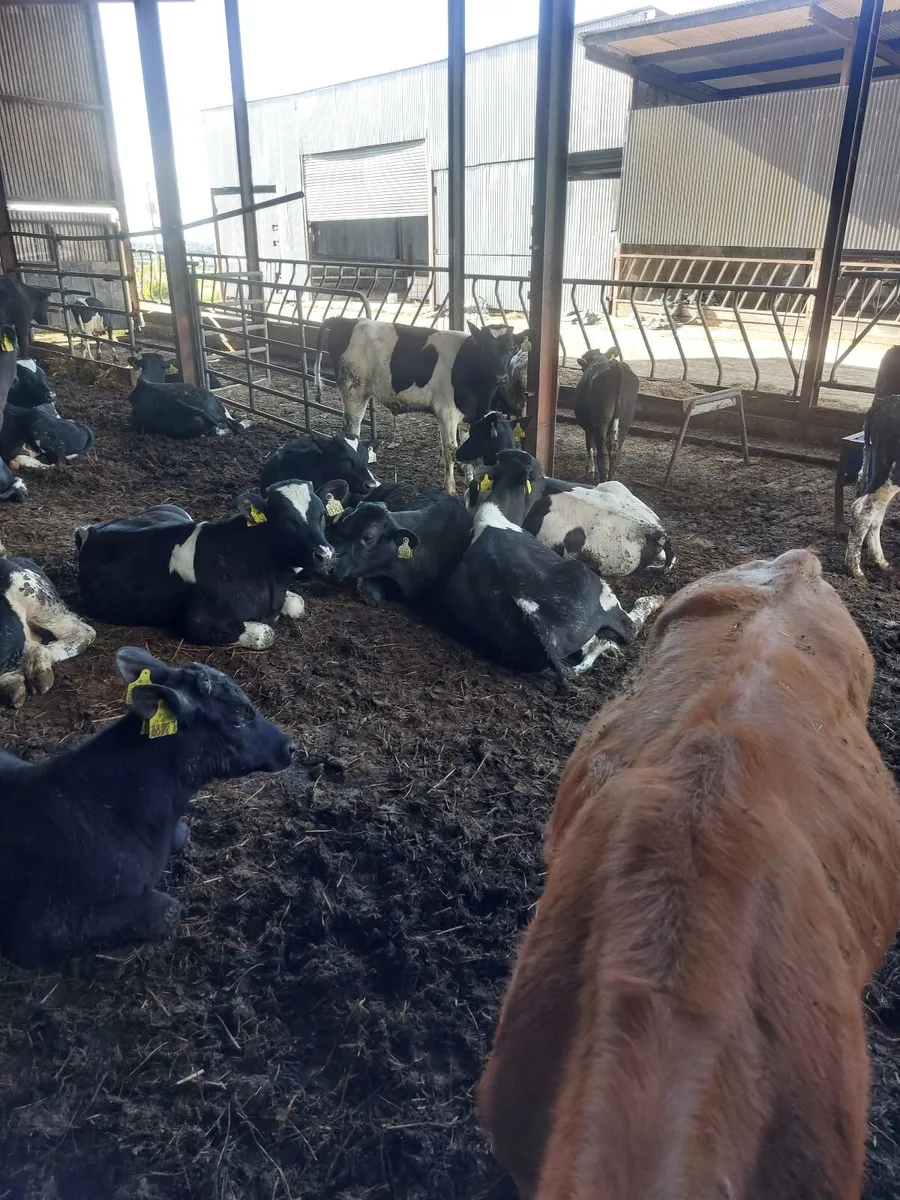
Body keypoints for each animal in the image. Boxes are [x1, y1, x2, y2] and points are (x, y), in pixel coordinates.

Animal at [76, 479, 345, 648]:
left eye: (321, 515)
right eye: (285, 519)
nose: (324, 554)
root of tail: (91, 529)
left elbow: (298, 603)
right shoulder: (198, 621)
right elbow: (266, 633)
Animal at [315, 317, 514, 494]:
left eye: (511, 349)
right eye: (485, 347)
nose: (501, 377)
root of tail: (346, 320)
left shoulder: (467, 415)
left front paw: (470, 478)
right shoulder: (447, 412)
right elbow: (450, 450)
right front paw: (450, 488)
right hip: (353, 391)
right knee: (352, 428)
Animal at [573, 347, 639, 481]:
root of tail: (617, 367)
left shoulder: (588, 427)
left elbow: (590, 446)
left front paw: (590, 471)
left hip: (601, 422)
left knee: (602, 457)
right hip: (625, 423)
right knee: (615, 454)